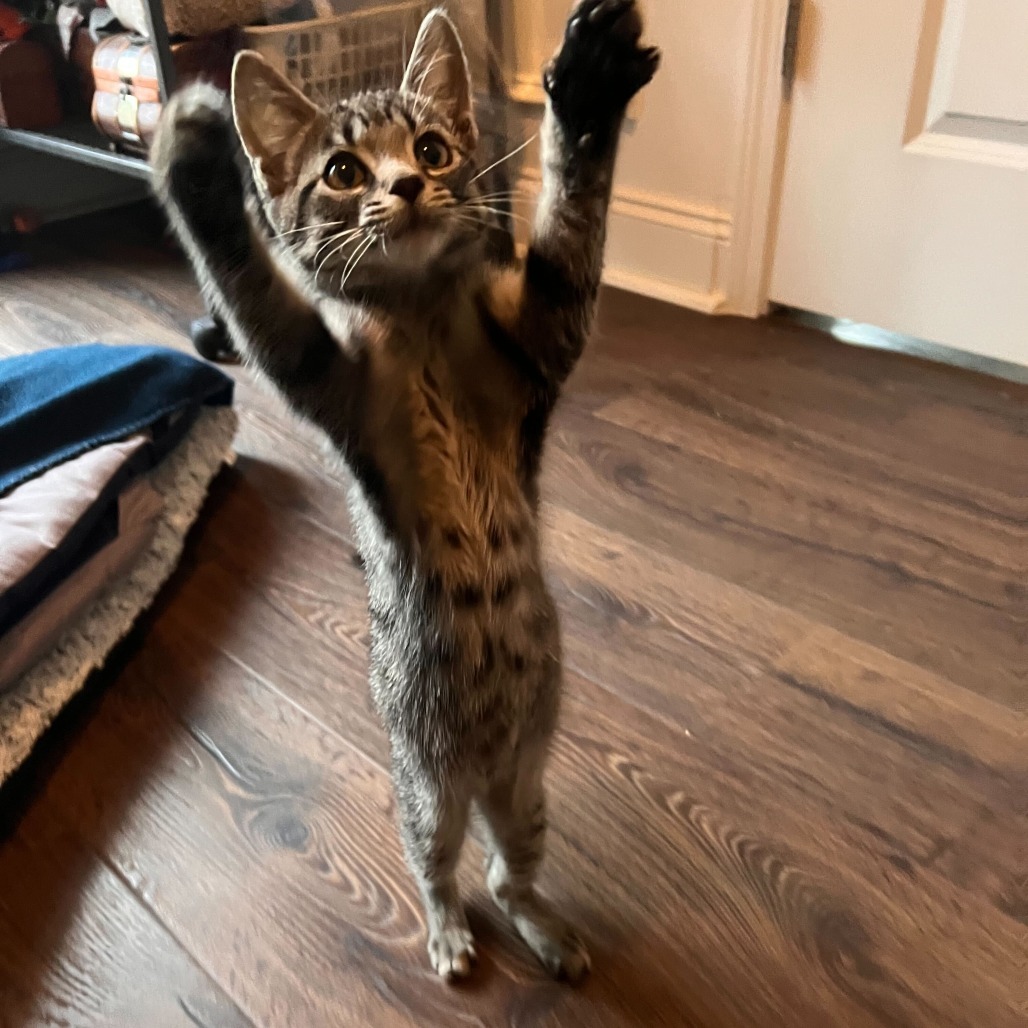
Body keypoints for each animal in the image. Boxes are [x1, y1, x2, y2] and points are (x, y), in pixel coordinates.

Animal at [154, 0, 657, 978]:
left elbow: (573, 232)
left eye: (430, 147)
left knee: (507, 875)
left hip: (527, 798)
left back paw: (543, 927)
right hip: (427, 796)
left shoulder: (542, 335)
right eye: (343, 172)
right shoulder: (323, 379)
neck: (422, 314)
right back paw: (447, 932)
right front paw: (193, 166)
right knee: (440, 869)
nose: (409, 185)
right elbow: (252, 293)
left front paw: (587, 93)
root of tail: (484, 778)